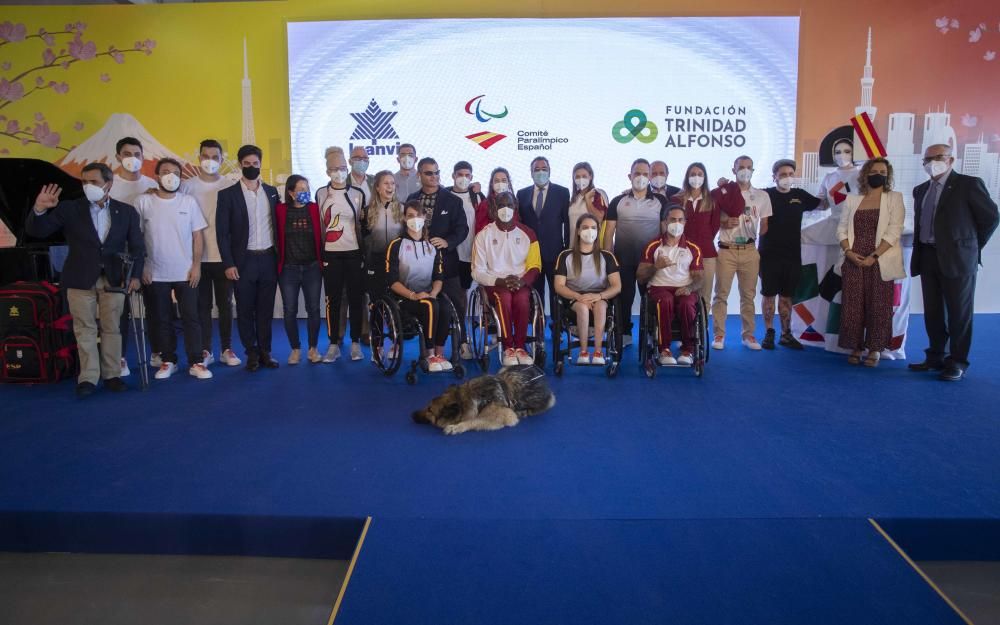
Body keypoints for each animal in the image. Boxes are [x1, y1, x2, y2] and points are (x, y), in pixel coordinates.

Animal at [412, 366, 556, 434]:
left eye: (430, 410)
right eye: (427, 406)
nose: (412, 415)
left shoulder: (506, 416)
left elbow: (474, 421)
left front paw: (456, 427)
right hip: (503, 369)